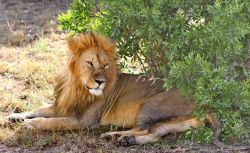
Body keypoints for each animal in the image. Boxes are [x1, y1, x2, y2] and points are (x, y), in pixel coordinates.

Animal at [9, 32, 221, 146]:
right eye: (90, 63)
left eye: (105, 65)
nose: (100, 82)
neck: (77, 85)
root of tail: (204, 102)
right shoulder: (63, 106)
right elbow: (41, 109)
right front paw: (16, 116)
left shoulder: (85, 120)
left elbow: (54, 122)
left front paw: (30, 124)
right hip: (172, 122)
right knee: (155, 135)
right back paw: (122, 139)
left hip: (151, 104)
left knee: (143, 129)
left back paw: (115, 136)